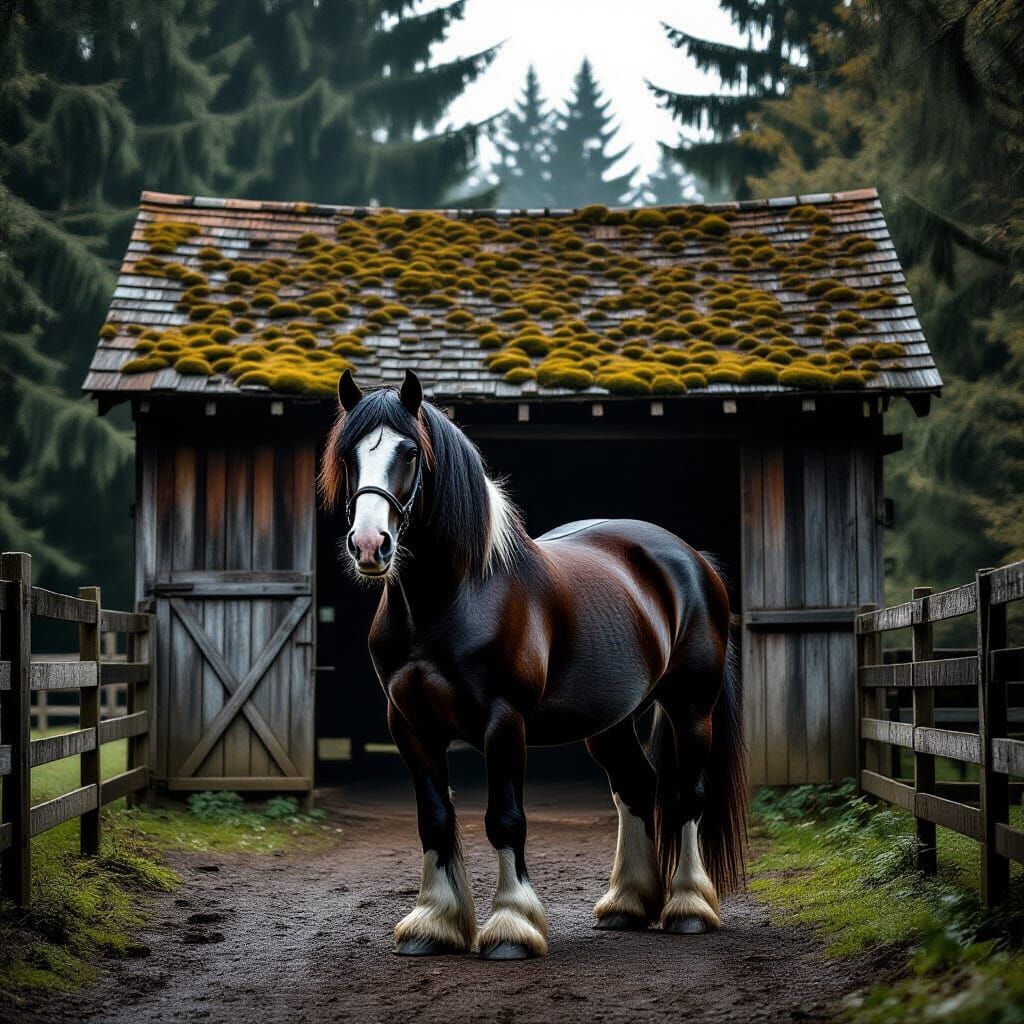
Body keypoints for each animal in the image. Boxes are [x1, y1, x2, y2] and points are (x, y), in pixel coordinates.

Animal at [319, 368, 747, 961]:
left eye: (409, 452)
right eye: (348, 454)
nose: (368, 544)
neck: (451, 598)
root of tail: (693, 560)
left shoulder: (504, 723)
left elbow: (505, 820)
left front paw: (511, 927)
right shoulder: (409, 726)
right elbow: (434, 819)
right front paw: (433, 923)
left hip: (691, 707)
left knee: (686, 795)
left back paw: (688, 907)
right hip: (610, 723)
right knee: (637, 787)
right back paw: (627, 904)